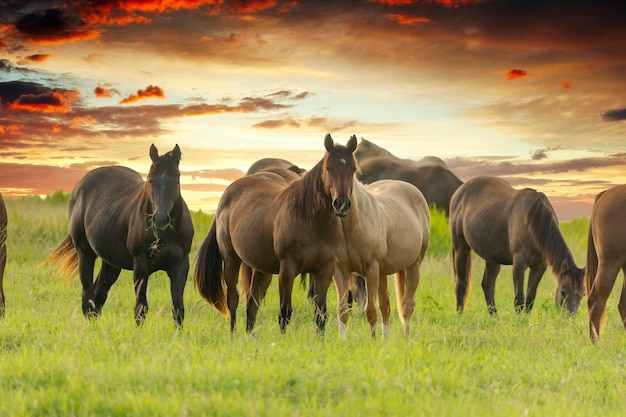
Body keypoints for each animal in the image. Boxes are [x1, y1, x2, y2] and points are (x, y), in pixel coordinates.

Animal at [44, 144, 193, 324]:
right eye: (151, 180)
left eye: (176, 180)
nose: (160, 219)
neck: (167, 235)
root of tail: (80, 185)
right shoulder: (141, 265)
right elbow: (141, 309)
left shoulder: (180, 265)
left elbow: (178, 310)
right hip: (85, 253)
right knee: (88, 297)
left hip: (111, 262)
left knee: (98, 294)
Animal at [195, 133, 358, 332]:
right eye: (329, 168)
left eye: (353, 169)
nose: (341, 204)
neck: (313, 223)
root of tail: (227, 195)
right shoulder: (287, 269)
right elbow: (285, 313)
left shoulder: (324, 270)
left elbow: (320, 315)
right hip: (231, 260)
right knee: (233, 299)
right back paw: (233, 335)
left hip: (262, 269)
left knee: (252, 304)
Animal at [332, 171, 428, 336]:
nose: (340, 205)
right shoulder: (341, 269)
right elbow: (345, 308)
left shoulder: (370, 270)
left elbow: (370, 310)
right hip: (382, 273)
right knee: (385, 305)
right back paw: (387, 338)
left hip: (413, 266)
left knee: (407, 305)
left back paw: (406, 338)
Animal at [446, 176, 584, 316]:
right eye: (563, 292)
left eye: (582, 295)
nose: (569, 317)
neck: (533, 221)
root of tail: (459, 192)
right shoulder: (519, 264)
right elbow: (519, 299)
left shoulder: (539, 267)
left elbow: (530, 298)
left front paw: (525, 319)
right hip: (461, 248)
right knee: (461, 283)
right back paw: (460, 314)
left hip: (492, 256)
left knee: (488, 283)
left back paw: (494, 316)